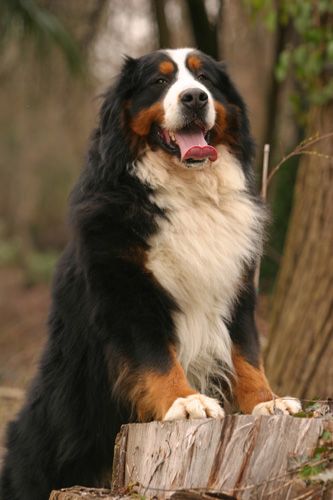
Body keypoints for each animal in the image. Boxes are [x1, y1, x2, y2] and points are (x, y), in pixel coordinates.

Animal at [0, 47, 300, 500]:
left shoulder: (235, 287)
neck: (189, 193)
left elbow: (246, 353)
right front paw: (187, 402)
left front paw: (268, 401)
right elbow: (156, 355)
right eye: (159, 82)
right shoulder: (127, 291)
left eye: (205, 79)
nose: (194, 98)